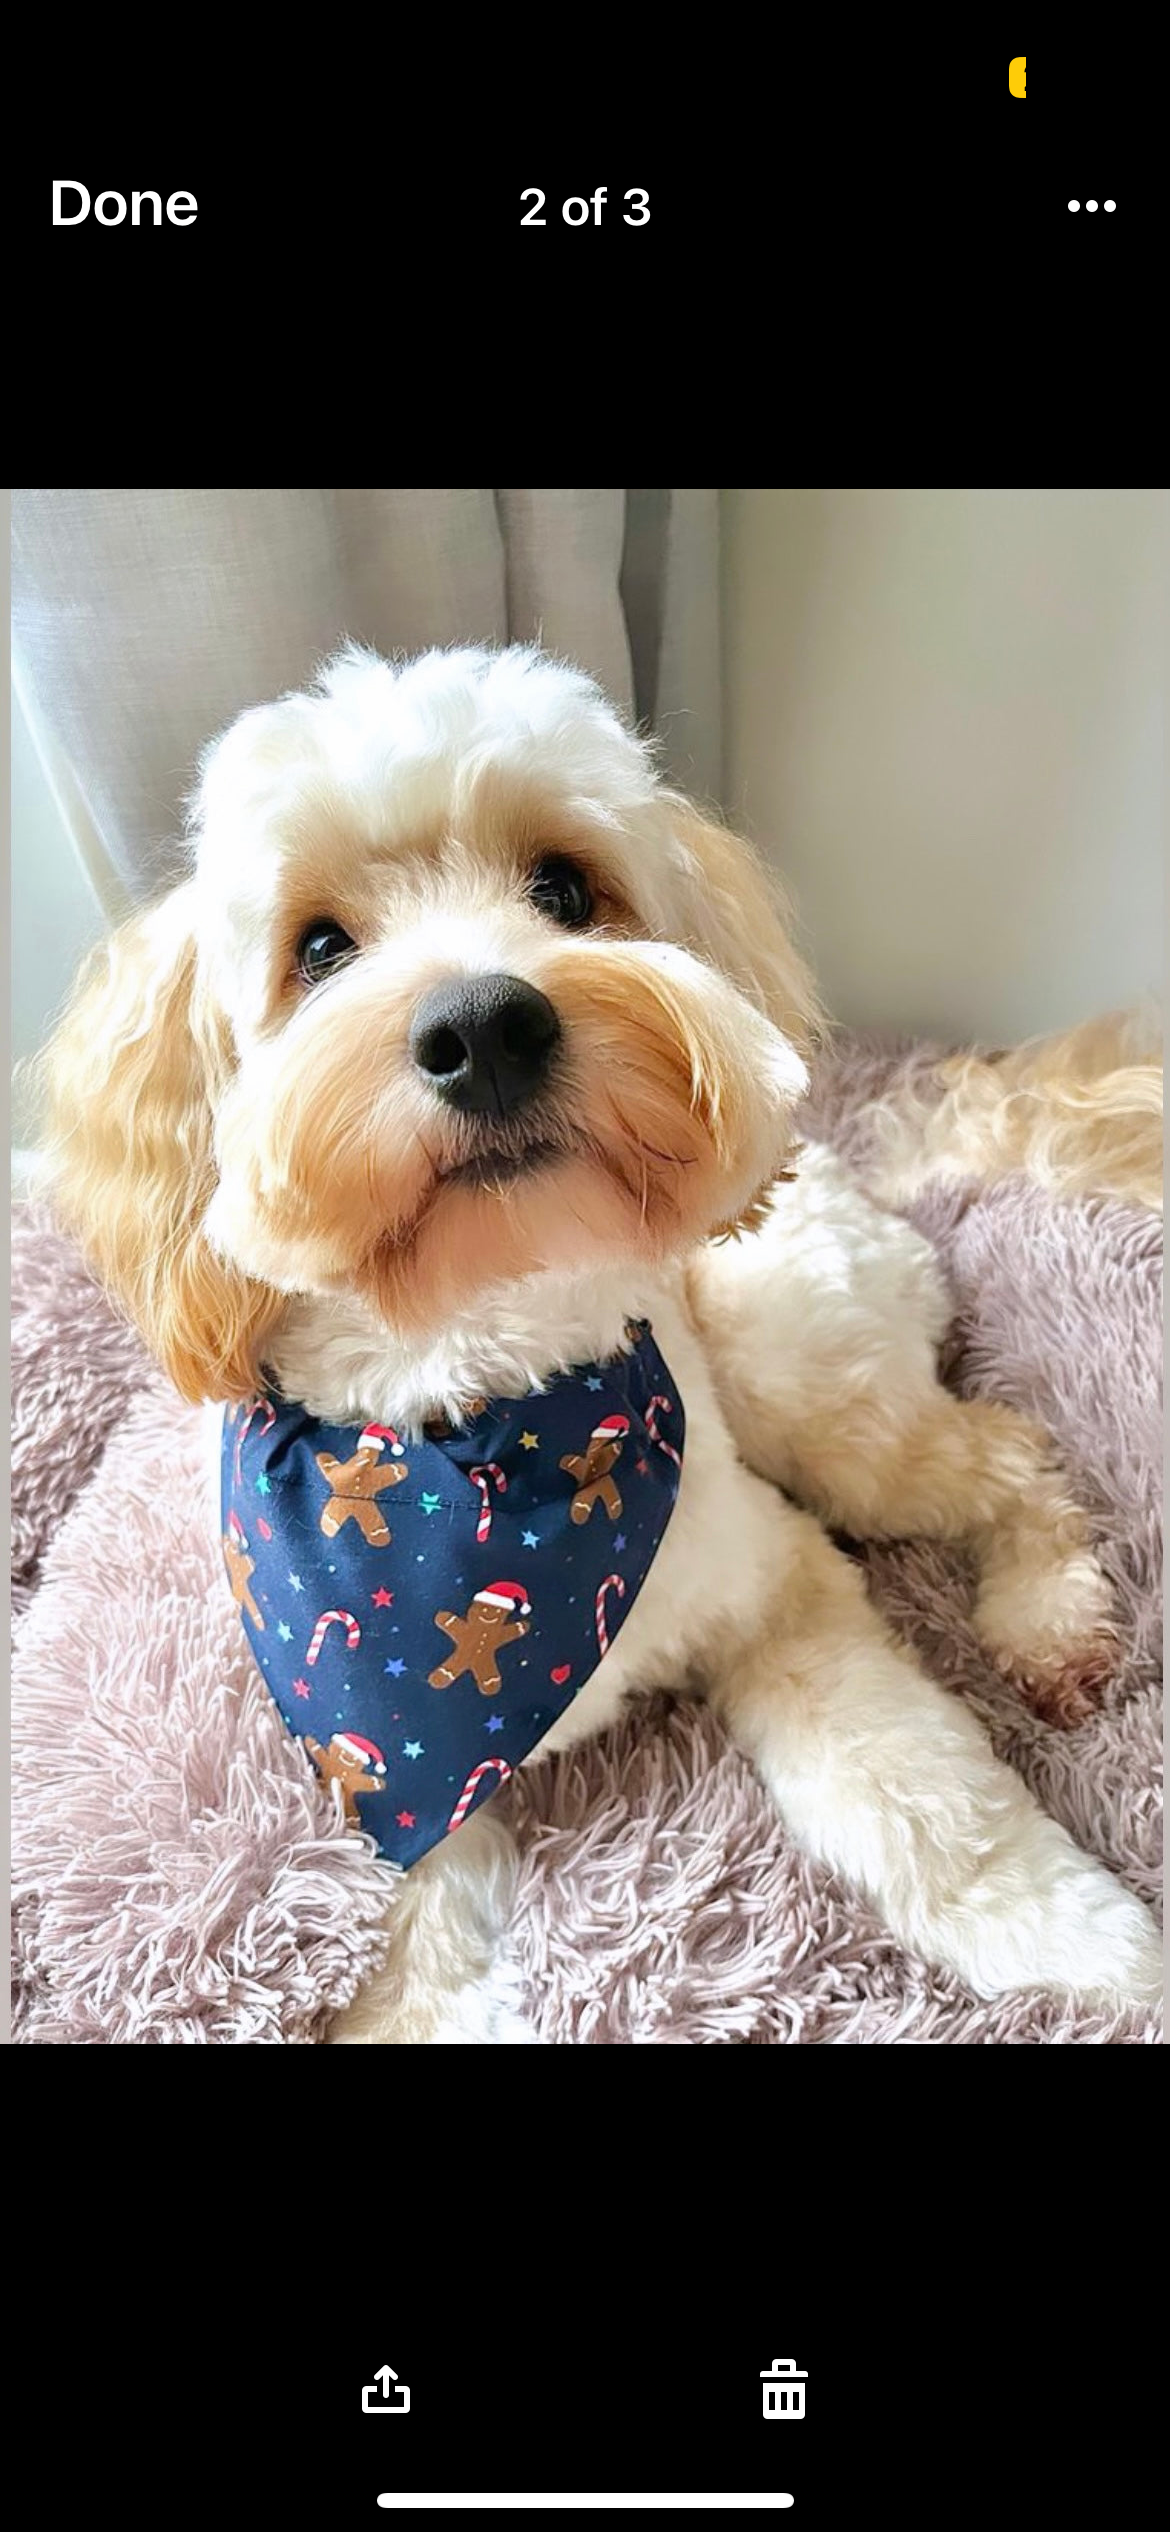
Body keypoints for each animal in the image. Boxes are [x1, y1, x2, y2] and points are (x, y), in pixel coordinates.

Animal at [36, 648, 1159, 2035]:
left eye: (565, 889)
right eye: (321, 948)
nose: (487, 1025)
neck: (480, 1421)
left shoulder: (777, 1580)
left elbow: (921, 1798)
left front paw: (1076, 1944)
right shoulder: (380, 1780)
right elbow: (410, 1952)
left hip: (801, 1377)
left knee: (1005, 1448)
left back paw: (1048, 1621)